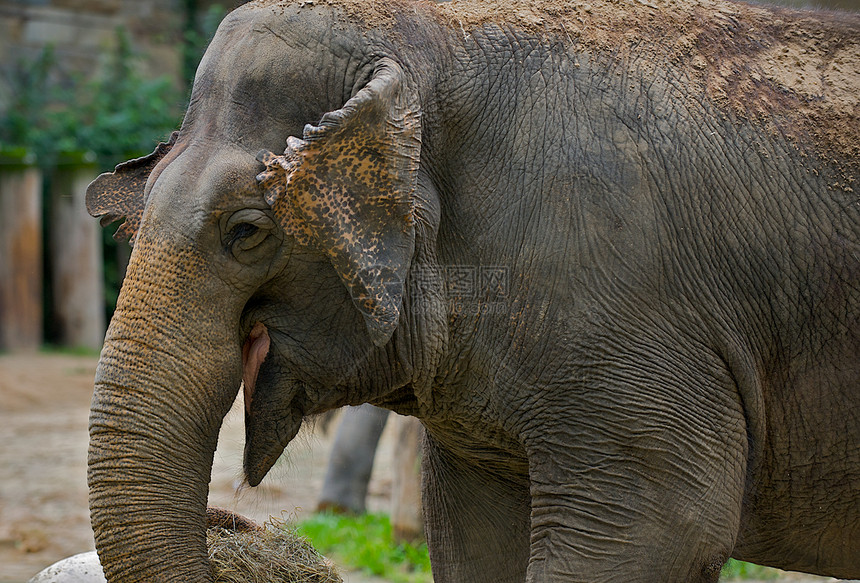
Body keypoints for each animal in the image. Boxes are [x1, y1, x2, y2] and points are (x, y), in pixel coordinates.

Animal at [85, 0, 860, 580]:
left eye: (246, 230)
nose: (233, 528)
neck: (432, 38)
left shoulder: (631, 318)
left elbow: (670, 521)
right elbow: (475, 538)